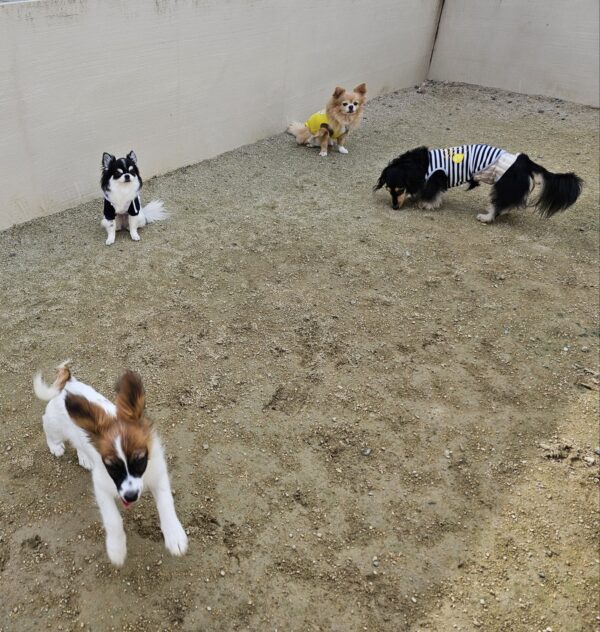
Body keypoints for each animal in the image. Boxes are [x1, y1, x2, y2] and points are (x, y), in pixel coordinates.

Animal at [34, 362, 188, 566]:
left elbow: (166, 504)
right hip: (55, 425)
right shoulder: (102, 487)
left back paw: (84, 457)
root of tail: (68, 382)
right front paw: (116, 549)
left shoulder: (157, 474)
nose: (130, 497)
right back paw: (55, 446)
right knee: (47, 426)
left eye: (140, 460)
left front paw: (174, 535)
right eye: (112, 467)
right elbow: (113, 520)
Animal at [375, 144, 582, 223]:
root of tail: (523, 160)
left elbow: (430, 193)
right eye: (389, 190)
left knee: (499, 203)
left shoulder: (436, 178)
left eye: (399, 189)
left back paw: (487, 217)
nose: (394, 208)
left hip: (503, 185)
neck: (420, 164)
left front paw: (426, 204)